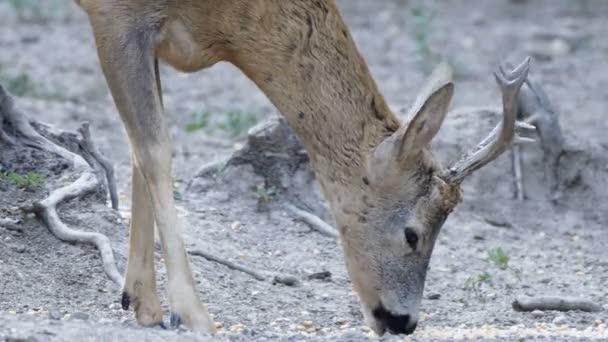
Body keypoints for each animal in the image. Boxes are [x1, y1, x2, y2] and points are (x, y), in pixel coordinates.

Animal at [76, 0, 532, 336]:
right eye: (412, 234)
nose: (404, 322)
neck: (226, 28)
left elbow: (138, 150)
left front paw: (143, 302)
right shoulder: (118, 16)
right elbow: (155, 150)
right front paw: (193, 315)